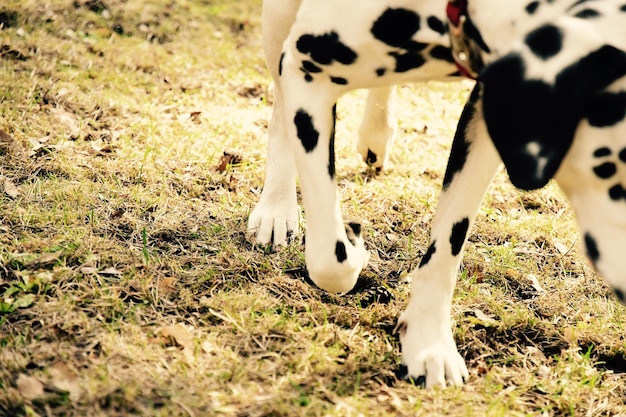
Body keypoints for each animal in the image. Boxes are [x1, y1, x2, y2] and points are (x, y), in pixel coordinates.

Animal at [246, 0, 624, 386]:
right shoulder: (304, 68)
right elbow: (329, 259)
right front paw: (353, 249)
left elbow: (447, 245)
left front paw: (429, 344)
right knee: (280, 111)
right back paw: (277, 209)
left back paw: (376, 134)